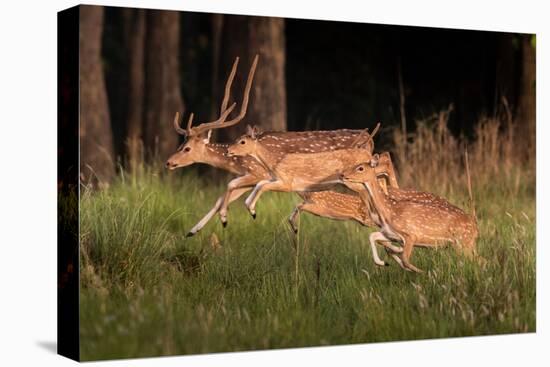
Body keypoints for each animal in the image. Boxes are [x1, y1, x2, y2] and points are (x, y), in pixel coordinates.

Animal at [164, 56, 402, 237]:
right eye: (181, 144)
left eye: (186, 148)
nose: (168, 162)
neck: (236, 162)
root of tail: (369, 137)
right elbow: (222, 197)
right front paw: (192, 231)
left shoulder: (257, 173)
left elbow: (227, 192)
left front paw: (222, 220)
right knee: (382, 166)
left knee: (383, 162)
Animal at [340, 155, 478, 274]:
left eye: (360, 168)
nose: (343, 175)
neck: (389, 212)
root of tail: (476, 228)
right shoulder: (391, 234)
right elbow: (372, 236)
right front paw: (382, 262)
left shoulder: (411, 235)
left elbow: (405, 259)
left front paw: (422, 272)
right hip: (463, 244)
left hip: (463, 242)